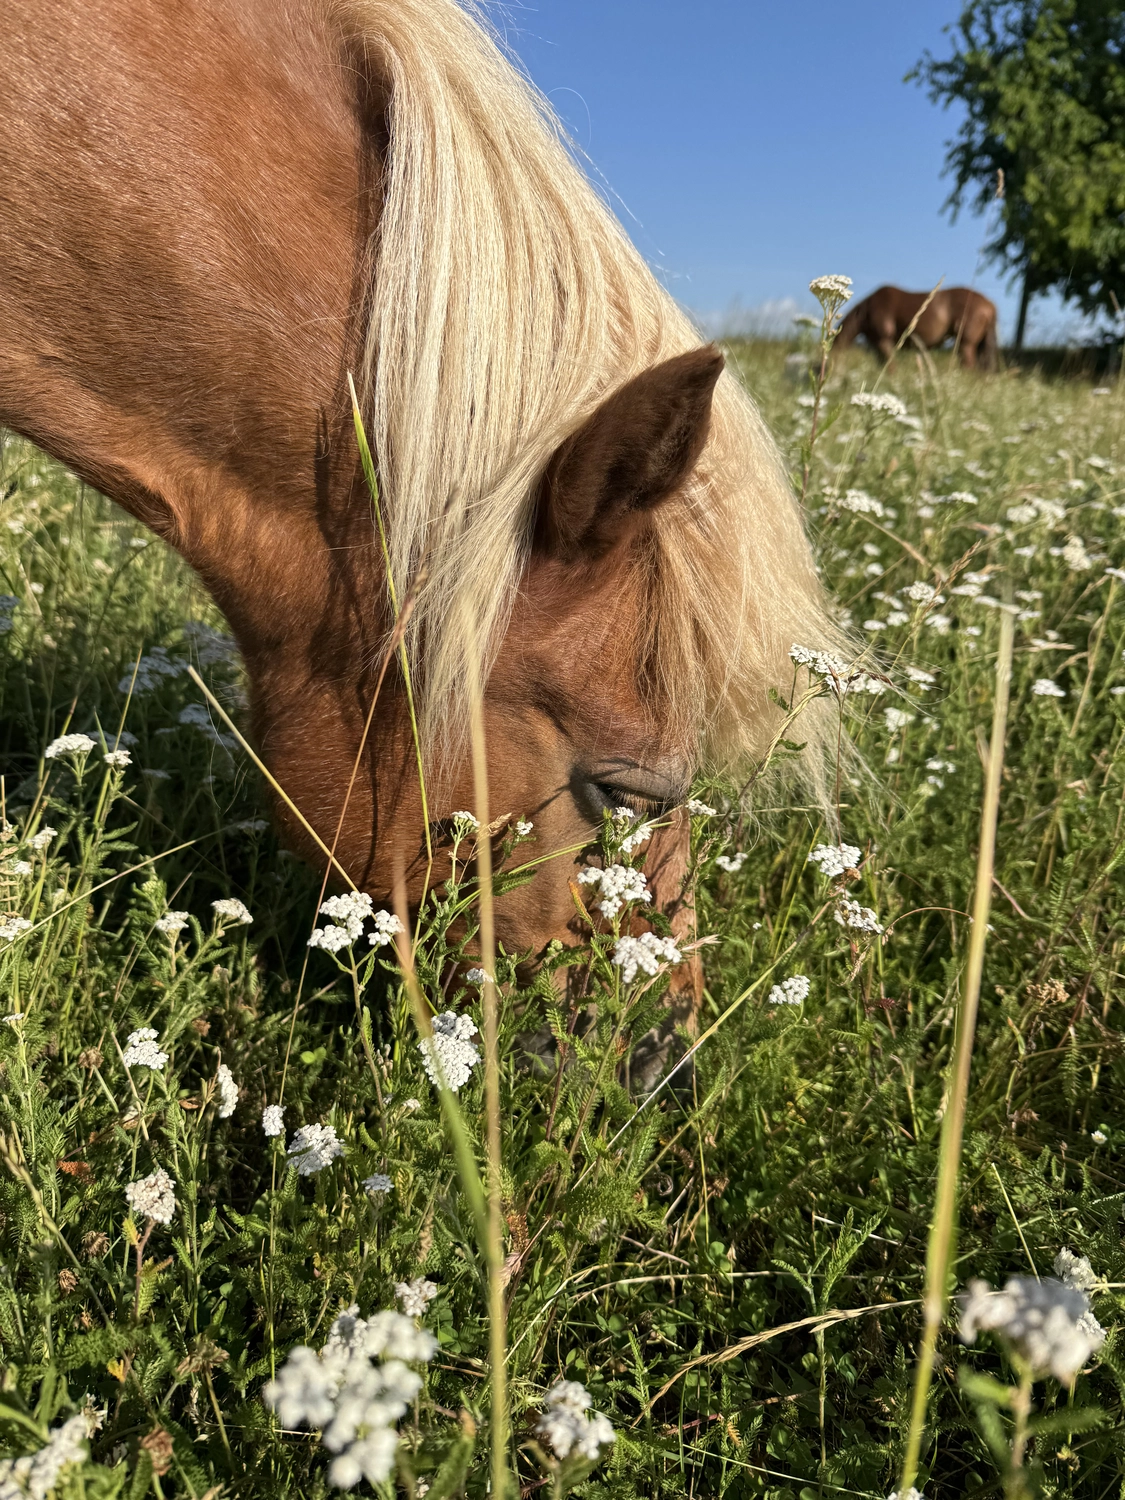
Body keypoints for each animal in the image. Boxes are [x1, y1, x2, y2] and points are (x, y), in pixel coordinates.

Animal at [835, 286, 998, 370]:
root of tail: (990, 305)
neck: (866, 312)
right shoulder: (876, 345)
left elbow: (890, 367)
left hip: (966, 343)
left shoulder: (884, 341)